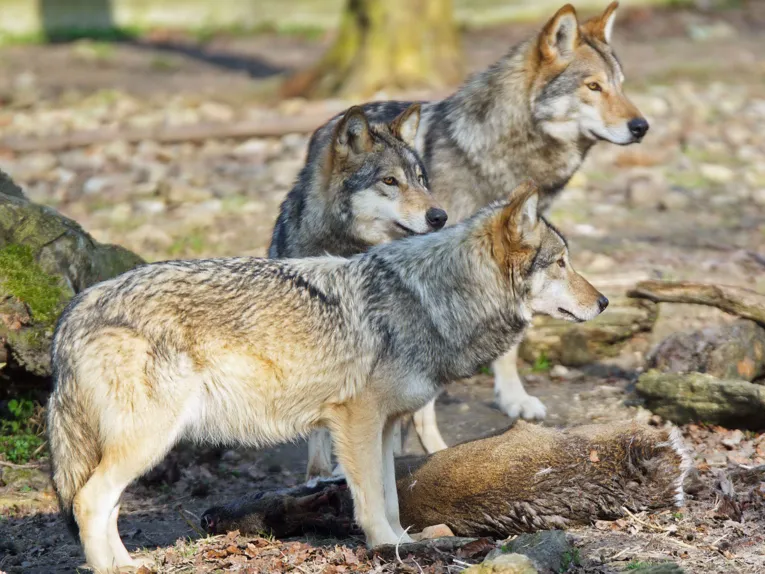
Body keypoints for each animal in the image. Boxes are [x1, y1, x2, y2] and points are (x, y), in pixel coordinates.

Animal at [47, 181, 606, 573]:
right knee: (89, 501)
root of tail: (74, 310)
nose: (602, 301)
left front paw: (402, 543)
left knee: (103, 506)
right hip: (150, 439)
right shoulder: (355, 421)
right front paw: (384, 547)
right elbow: (371, 499)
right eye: (561, 262)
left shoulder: (385, 426)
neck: (429, 300)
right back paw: (113, 569)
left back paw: (127, 562)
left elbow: (390, 495)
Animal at [305, 1, 648, 467]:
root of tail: (336, 122)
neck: (496, 154)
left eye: (620, 85)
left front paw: (514, 399)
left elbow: (511, 340)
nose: (641, 126)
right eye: (593, 86)